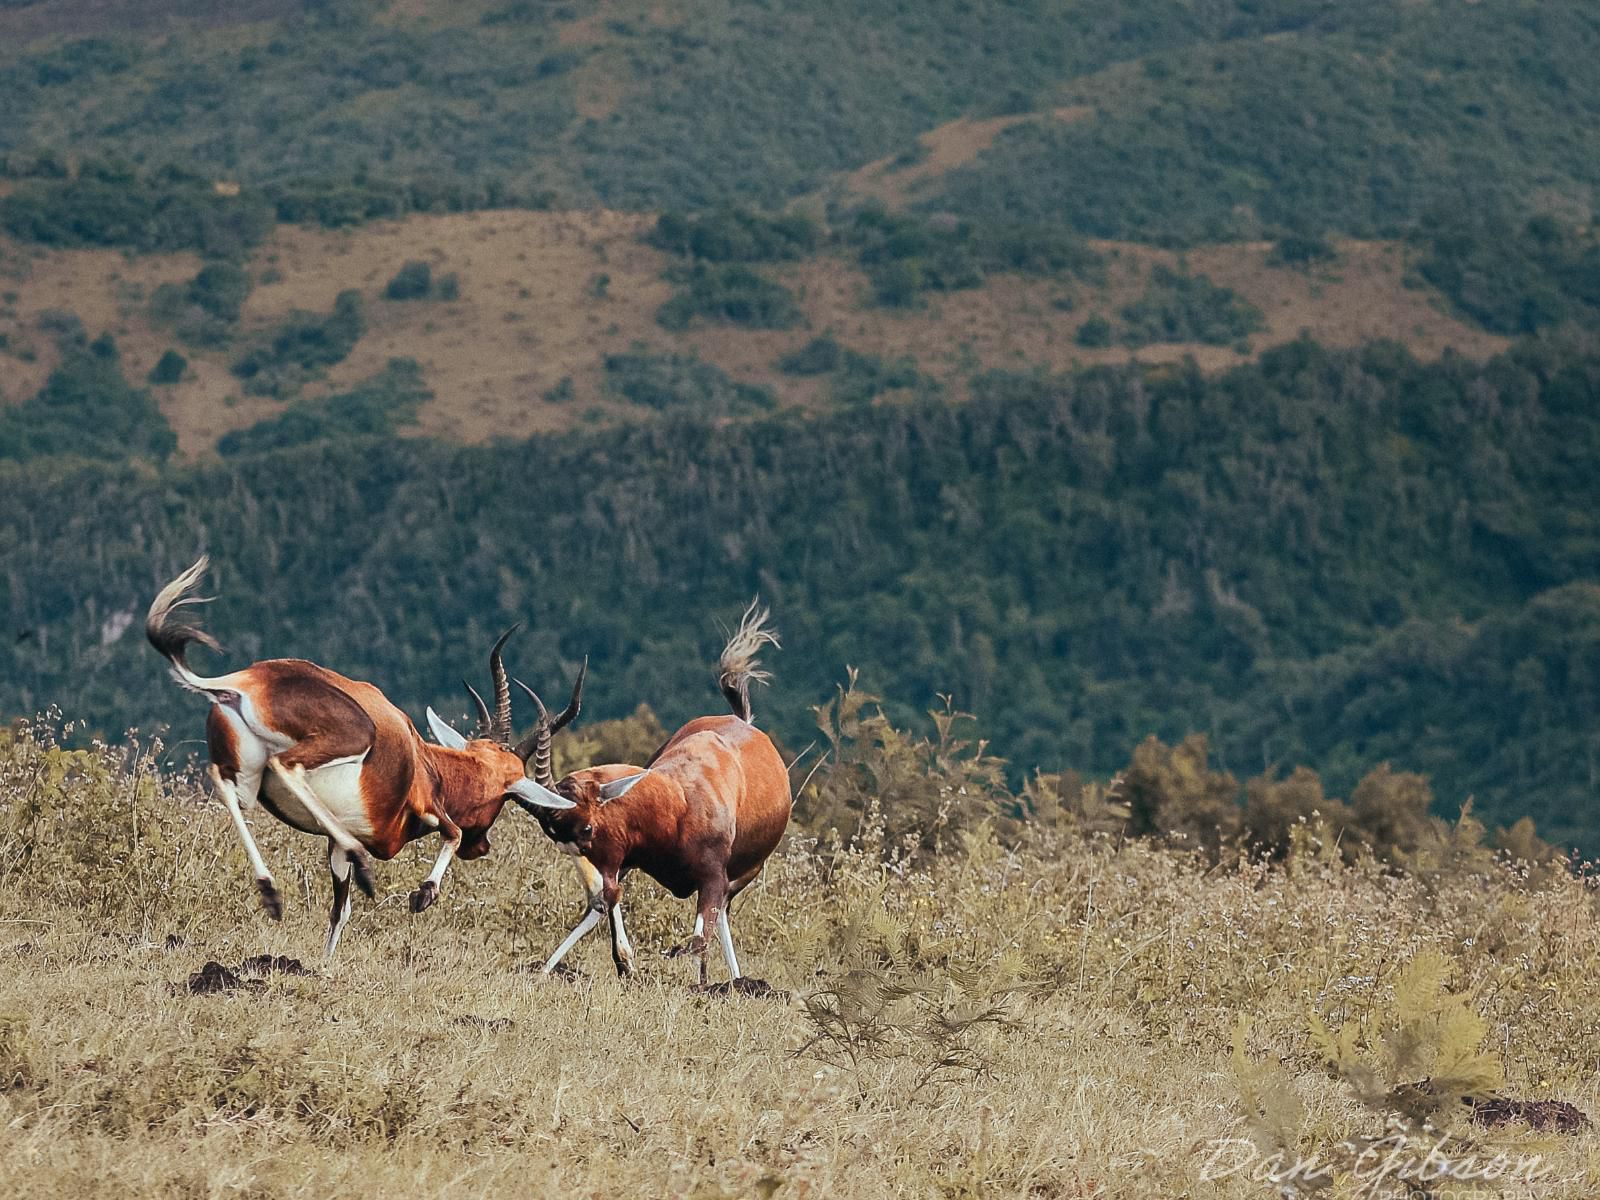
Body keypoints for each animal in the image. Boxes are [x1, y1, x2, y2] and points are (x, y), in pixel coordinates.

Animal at [147, 556, 579, 960]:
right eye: (508, 796)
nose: (482, 848)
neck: (419, 754)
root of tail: (244, 682)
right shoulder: (425, 806)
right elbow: (452, 831)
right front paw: (422, 894)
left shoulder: (334, 848)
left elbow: (340, 911)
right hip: (344, 742)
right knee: (286, 766)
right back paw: (358, 869)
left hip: (246, 777)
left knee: (225, 786)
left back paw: (271, 892)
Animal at [524, 601, 793, 985]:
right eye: (556, 838)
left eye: (587, 828)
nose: (597, 895)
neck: (680, 799)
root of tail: (744, 721)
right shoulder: (622, 863)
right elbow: (604, 912)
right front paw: (562, 967)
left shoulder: (712, 879)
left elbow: (697, 937)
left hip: (744, 874)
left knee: (720, 919)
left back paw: (729, 982)